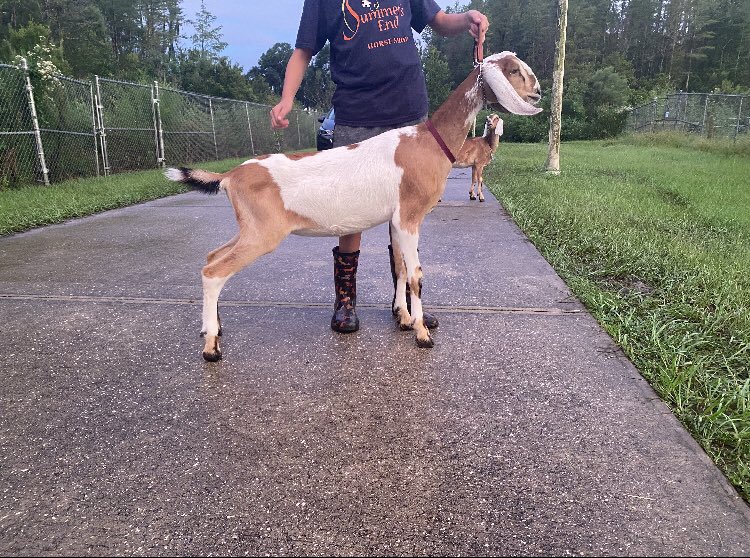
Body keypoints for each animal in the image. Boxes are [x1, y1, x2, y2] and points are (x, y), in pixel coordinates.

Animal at [166, 52, 542, 361]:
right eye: (513, 70)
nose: (538, 93)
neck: (428, 142)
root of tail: (231, 174)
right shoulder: (410, 216)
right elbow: (417, 275)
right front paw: (422, 334)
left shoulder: (396, 220)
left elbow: (400, 269)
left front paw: (404, 318)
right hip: (262, 233)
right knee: (214, 271)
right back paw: (211, 347)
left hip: (249, 227)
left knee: (212, 257)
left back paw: (213, 326)